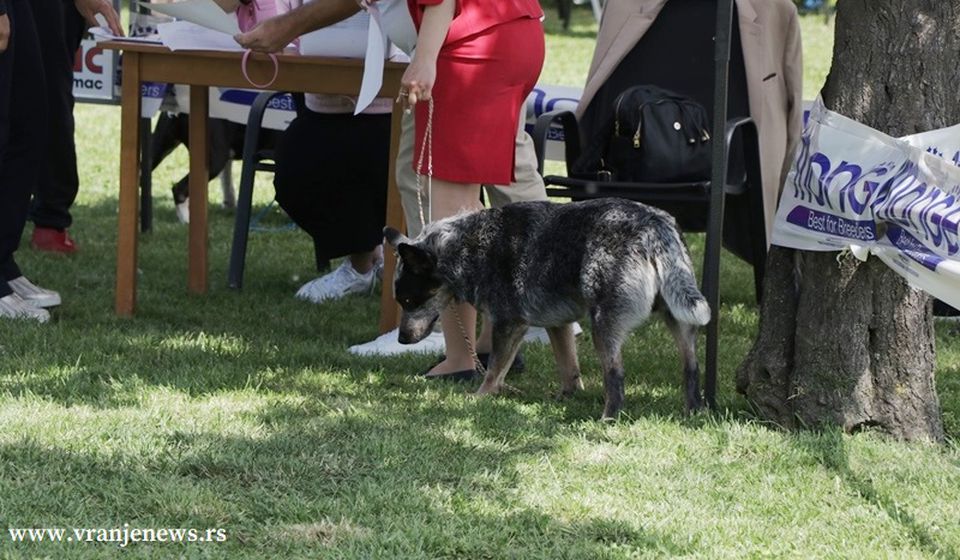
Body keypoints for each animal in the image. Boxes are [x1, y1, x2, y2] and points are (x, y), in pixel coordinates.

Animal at [384, 199, 712, 418]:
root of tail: (655, 226)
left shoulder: (509, 323)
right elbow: (569, 368)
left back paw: (609, 417)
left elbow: (494, 370)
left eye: (410, 301)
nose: (401, 338)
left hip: (603, 326)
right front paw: (566, 397)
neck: (467, 245)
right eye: (400, 302)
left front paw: (481, 397)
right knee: (691, 366)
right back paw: (694, 410)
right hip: (678, 316)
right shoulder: (558, 323)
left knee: (615, 374)